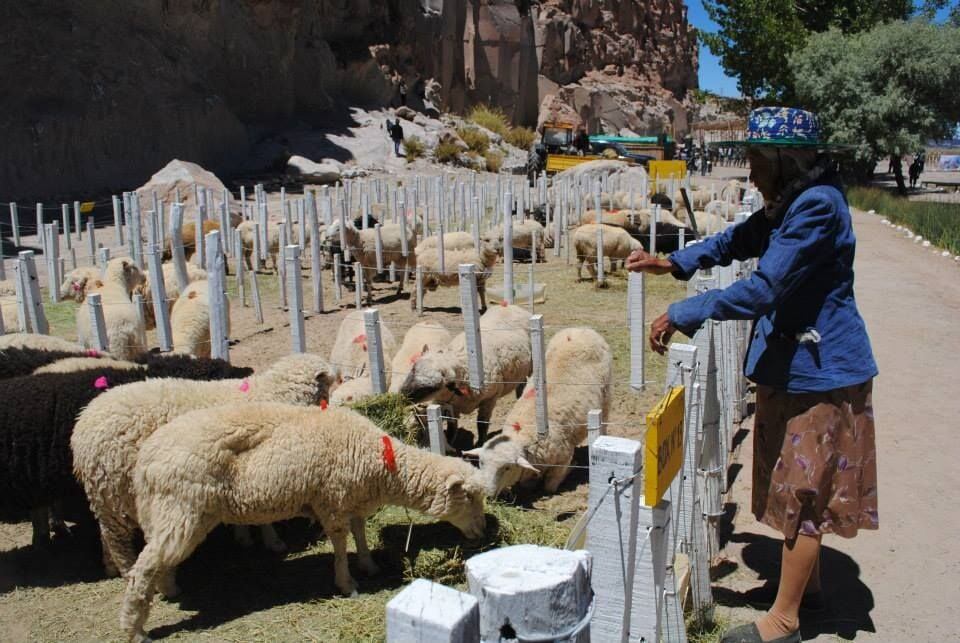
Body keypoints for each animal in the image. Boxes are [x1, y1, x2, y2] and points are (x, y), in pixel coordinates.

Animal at [68, 352, 338, 584]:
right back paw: (126, 570)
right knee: (116, 538)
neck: (270, 393)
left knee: (105, 531)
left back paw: (110, 567)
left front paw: (243, 536)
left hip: (104, 492)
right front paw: (273, 542)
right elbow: (264, 516)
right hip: (114, 487)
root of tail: (82, 425)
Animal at [120, 402, 488, 640]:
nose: (482, 531)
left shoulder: (352, 498)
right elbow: (340, 541)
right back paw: (136, 629)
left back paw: (168, 588)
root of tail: (146, 458)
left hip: (168, 513)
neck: (383, 463)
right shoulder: (333, 499)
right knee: (142, 569)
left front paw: (368, 564)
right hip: (182, 509)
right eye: (470, 497)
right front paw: (347, 583)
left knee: (157, 557)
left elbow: (360, 533)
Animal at [398, 304, 532, 446]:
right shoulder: (451, 406)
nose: (402, 395)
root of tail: (509, 305)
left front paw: (480, 444)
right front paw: (451, 443)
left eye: (431, 387)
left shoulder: (490, 399)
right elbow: (452, 428)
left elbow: (482, 424)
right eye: (413, 369)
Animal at [466, 330, 616, 496]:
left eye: (507, 468)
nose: (485, 493)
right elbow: (528, 483)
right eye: (481, 462)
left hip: (606, 395)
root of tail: (581, 329)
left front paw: (570, 470)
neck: (524, 431)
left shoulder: (563, 458)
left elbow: (550, 486)